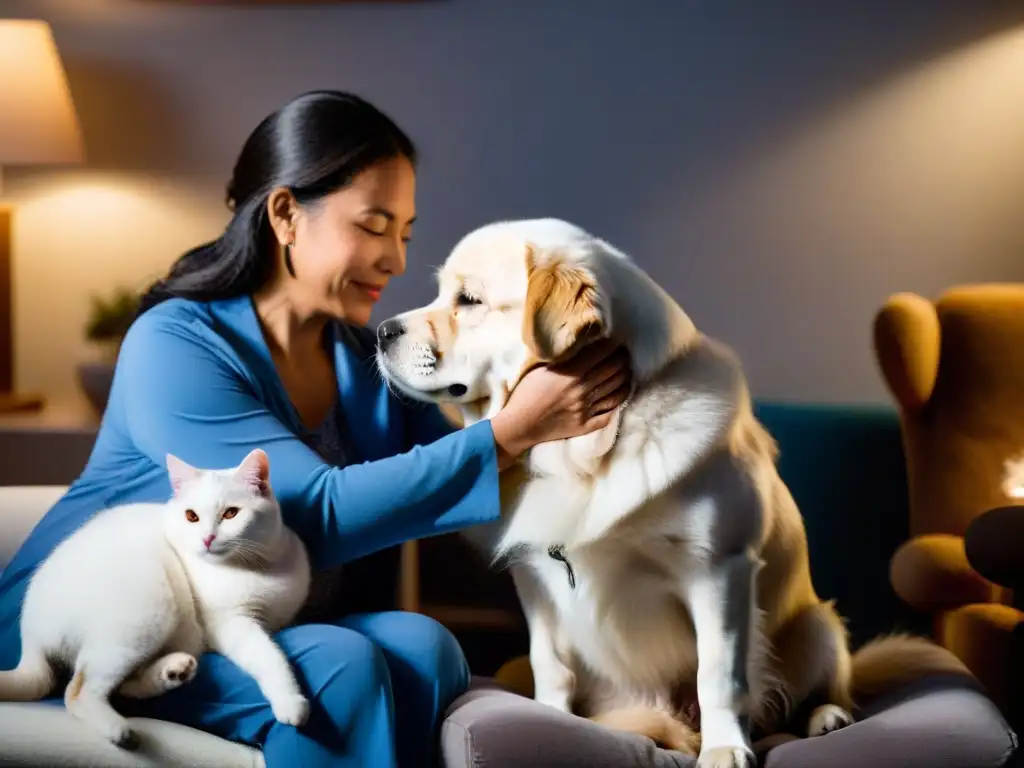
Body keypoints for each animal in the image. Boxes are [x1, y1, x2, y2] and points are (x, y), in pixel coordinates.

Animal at [0, 448, 311, 749]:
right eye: (191, 516)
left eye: (231, 513)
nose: (207, 538)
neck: (260, 566)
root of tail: (31, 636)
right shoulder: (230, 623)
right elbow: (269, 656)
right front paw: (291, 701)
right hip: (150, 606)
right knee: (78, 691)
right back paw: (121, 731)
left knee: (123, 686)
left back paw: (173, 672)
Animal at [376, 218, 966, 768]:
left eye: (469, 300)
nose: (381, 331)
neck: (590, 451)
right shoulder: (535, 579)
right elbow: (551, 664)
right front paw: (548, 719)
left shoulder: (719, 569)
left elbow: (719, 673)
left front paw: (725, 748)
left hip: (817, 624)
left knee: (810, 691)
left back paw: (825, 716)